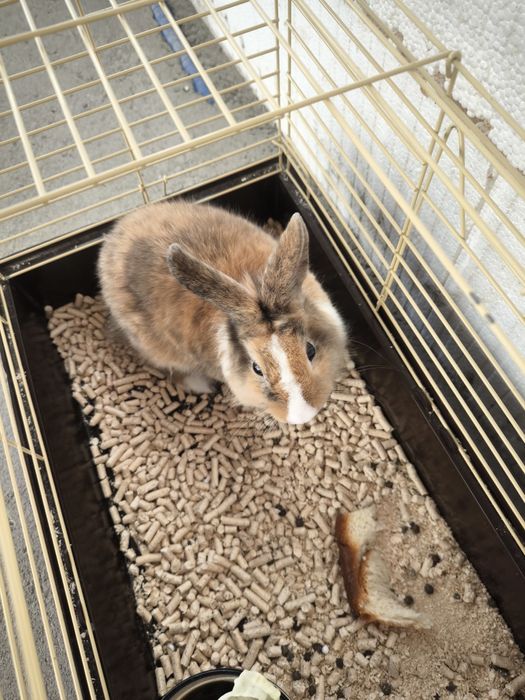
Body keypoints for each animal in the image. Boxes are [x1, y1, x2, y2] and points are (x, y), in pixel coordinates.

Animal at [97, 201, 348, 424]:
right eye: (257, 369)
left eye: (310, 350)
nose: (303, 416)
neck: (253, 288)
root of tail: (112, 240)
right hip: (156, 349)